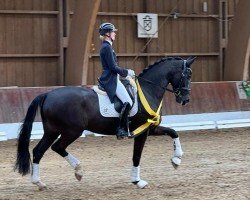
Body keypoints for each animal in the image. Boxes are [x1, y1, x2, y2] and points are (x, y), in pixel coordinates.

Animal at [15, 55, 195, 189]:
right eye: (187, 75)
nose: (185, 100)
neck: (148, 90)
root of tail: (47, 94)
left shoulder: (149, 128)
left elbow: (173, 132)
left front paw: (176, 160)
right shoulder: (141, 132)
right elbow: (136, 156)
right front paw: (138, 181)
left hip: (52, 130)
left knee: (39, 151)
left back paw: (39, 182)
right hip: (72, 130)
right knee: (57, 147)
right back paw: (78, 171)